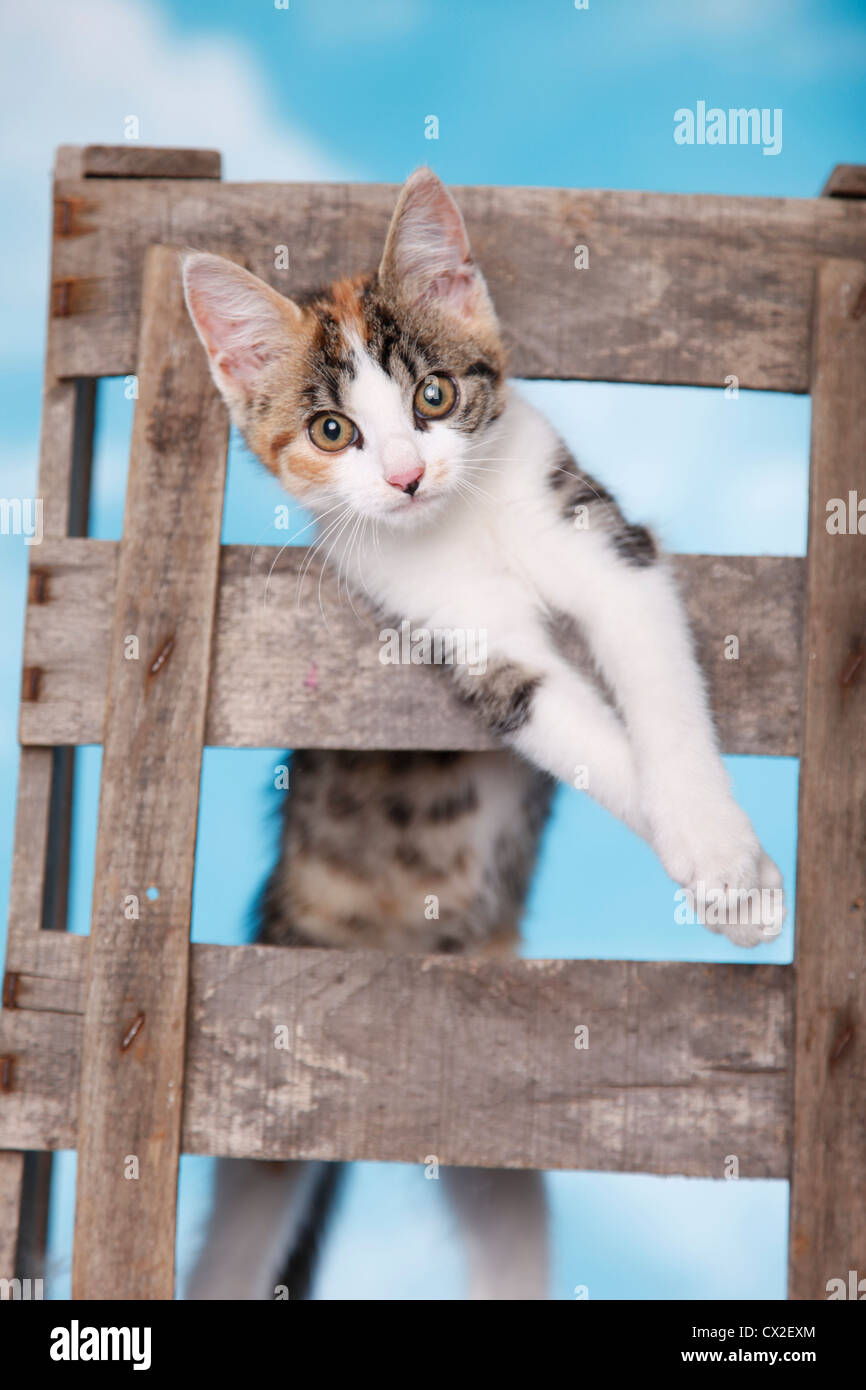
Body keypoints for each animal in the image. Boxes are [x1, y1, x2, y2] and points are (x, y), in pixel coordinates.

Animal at [183, 168, 783, 1295]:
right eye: (331, 433)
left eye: (432, 397)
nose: (407, 477)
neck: (466, 523)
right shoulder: (474, 644)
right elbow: (582, 731)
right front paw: (718, 873)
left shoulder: (609, 551)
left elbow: (661, 703)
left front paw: (724, 861)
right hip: (265, 1098)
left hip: (491, 1101)